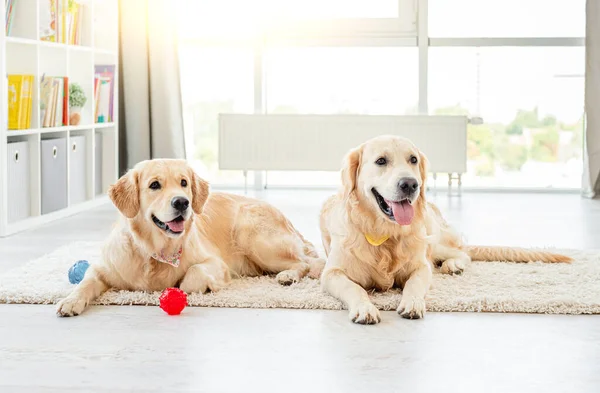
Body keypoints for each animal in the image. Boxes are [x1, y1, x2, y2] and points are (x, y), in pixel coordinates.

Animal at [56, 158, 324, 314]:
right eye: (154, 185)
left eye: (184, 182)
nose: (182, 202)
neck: (154, 251)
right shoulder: (104, 268)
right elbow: (85, 282)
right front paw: (70, 301)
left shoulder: (216, 263)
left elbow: (191, 276)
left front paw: (199, 287)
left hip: (253, 236)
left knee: (304, 262)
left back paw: (288, 275)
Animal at [322, 136, 568, 324]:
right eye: (381, 161)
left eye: (413, 159)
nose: (410, 184)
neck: (384, 233)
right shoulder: (331, 273)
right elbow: (354, 288)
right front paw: (365, 308)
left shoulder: (421, 266)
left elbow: (414, 283)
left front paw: (413, 302)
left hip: (432, 239)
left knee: (463, 253)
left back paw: (454, 265)